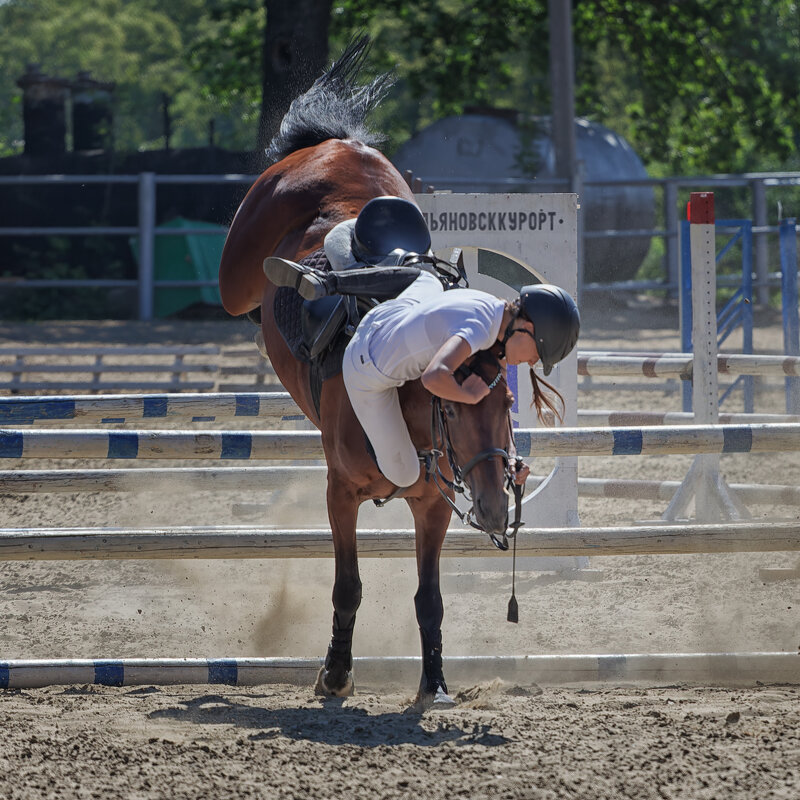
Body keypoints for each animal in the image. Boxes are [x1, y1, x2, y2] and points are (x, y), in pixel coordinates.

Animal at [216, 37, 516, 712]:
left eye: (508, 407)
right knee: (238, 294)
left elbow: (429, 599)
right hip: (236, 275)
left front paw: (434, 684)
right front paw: (335, 675)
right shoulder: (340, 495)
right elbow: (348, 586)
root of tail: (334, 142)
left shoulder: (431, 507)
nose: (490, 508)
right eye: (454, 406)